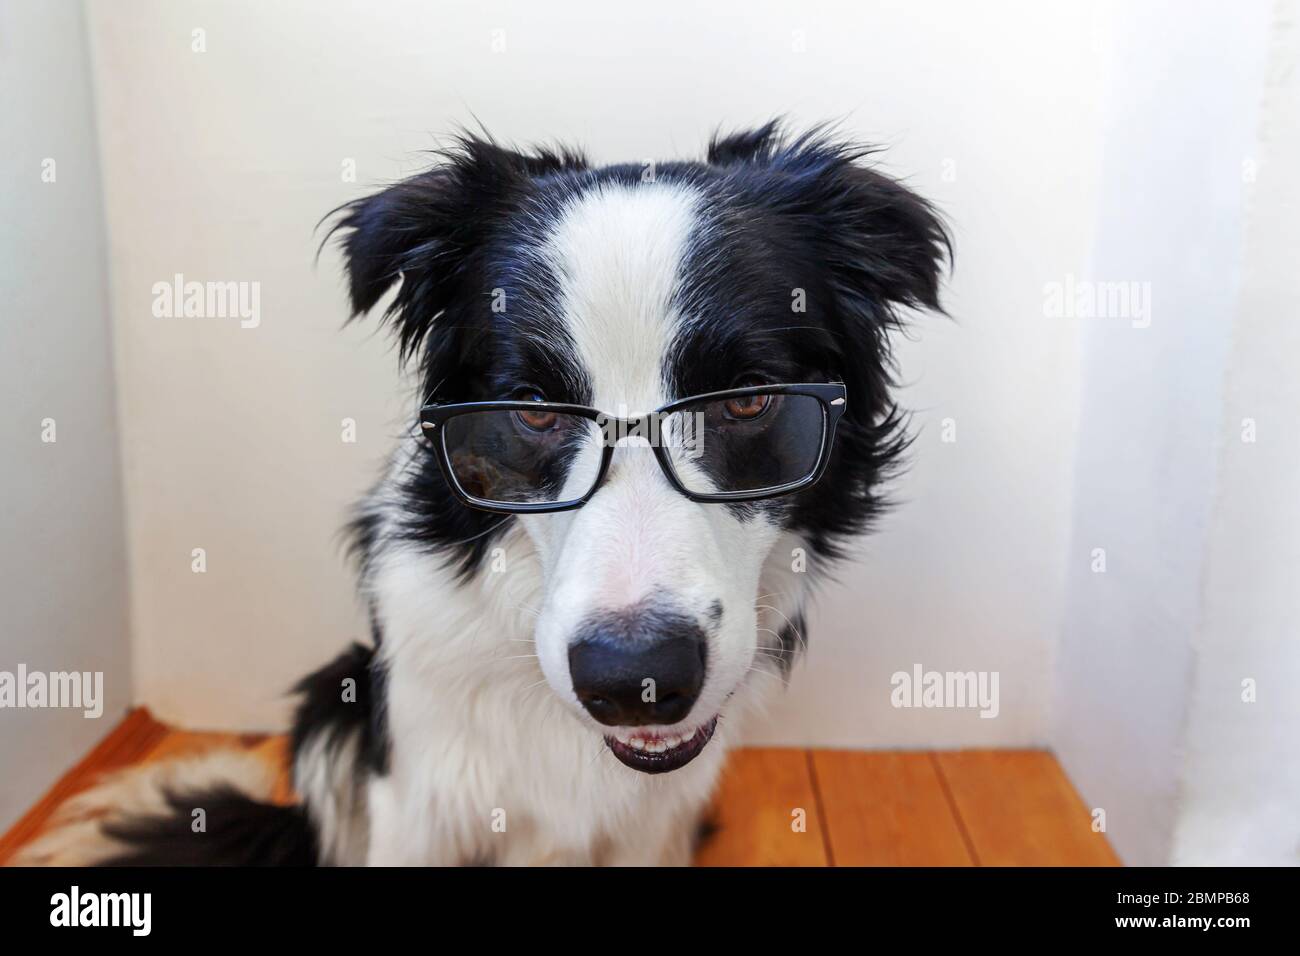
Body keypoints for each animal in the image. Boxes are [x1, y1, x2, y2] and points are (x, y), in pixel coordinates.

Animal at [17, 121, 946, 868]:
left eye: (748, 400)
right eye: (531, 408)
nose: (635, 680)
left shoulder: (653, 822)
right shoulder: (415, 802)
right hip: (333, 702)